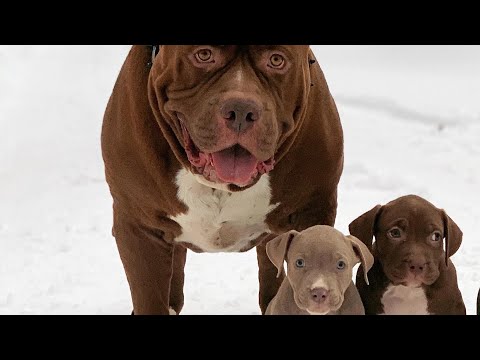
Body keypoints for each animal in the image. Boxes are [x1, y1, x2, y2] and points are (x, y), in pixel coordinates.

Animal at [101, 45, 344, 316]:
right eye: (204, 55)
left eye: (276, 60)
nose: (241, 111)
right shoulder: (139, 227)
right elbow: (150, 298)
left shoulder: (310, 214)